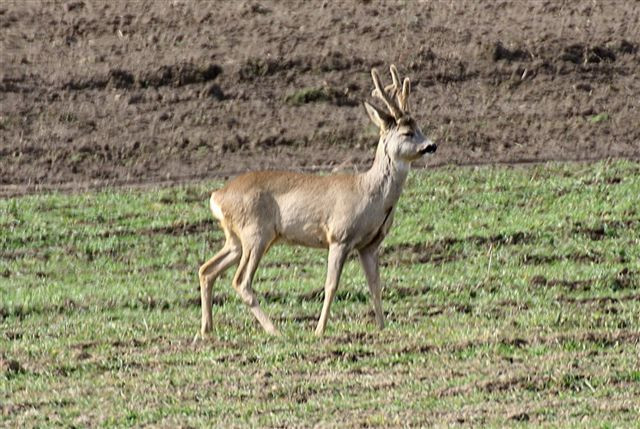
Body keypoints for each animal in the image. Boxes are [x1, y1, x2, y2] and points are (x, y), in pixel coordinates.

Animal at [198, 65, 438, 336]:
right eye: (407, 132)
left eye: (420, 127)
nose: (432, 145)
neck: (370, 195)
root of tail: (217, 196)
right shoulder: (339, 236)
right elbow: (331, 284)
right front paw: (320, 330)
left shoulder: (369, 244)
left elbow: (375, 285)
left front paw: (382, 327)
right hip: (256, 232)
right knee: (240, 281)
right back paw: (275, 330)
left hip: (236, 238)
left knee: (207, 269)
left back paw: (206, 330)